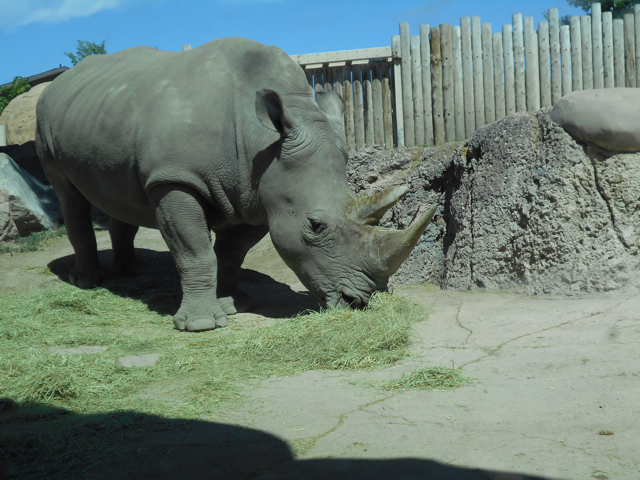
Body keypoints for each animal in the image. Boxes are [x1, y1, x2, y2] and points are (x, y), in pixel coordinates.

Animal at [35, 37, 435, 332]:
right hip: (46, 120)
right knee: (68, 195)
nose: (358, 302)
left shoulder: (257, 193)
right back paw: (85, 282)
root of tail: (58, 83)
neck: (261, 138)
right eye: (315, 225)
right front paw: (201, 324)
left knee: (122, 192)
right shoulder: (176, 178)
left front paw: (236, 303)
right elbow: (194, 250)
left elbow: (231, 252)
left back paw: (130, 271)